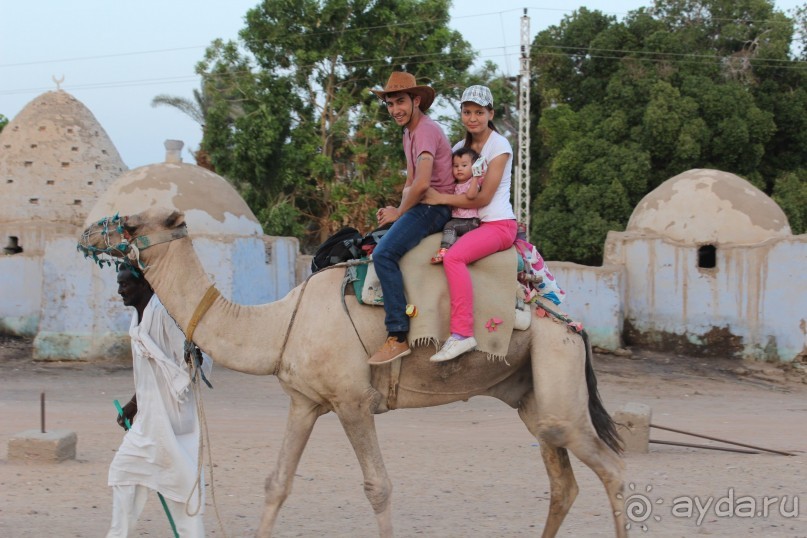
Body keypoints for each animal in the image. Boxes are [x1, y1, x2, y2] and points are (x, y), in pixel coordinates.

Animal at [79, 207, 628, 532]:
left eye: (133, 224)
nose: (86, 229)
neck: (280, 324)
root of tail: (571, 322)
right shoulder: (305, 401)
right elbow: (276, 483)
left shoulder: (353, 401)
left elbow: (378, 488)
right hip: (531, 394)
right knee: (563, 481)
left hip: (555, 365)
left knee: (613, 469)